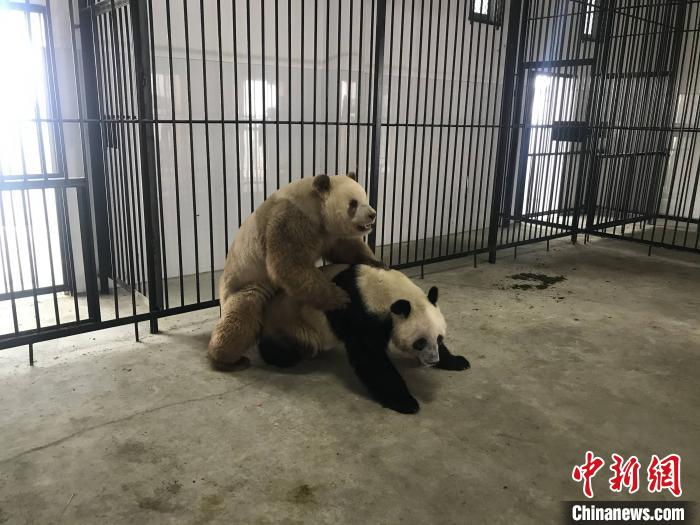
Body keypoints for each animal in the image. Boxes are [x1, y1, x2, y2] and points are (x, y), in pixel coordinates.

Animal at [208, 173, 382, 369]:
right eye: (353, 203)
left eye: (365, 198)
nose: (372, 214)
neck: (316, 204)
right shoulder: (290, 220)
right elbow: (289, 265)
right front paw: (339, 297)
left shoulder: (330, 233)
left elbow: (347, 248)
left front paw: (376, 263)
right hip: (246, 282)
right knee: (242, 315)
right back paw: (227, 359)